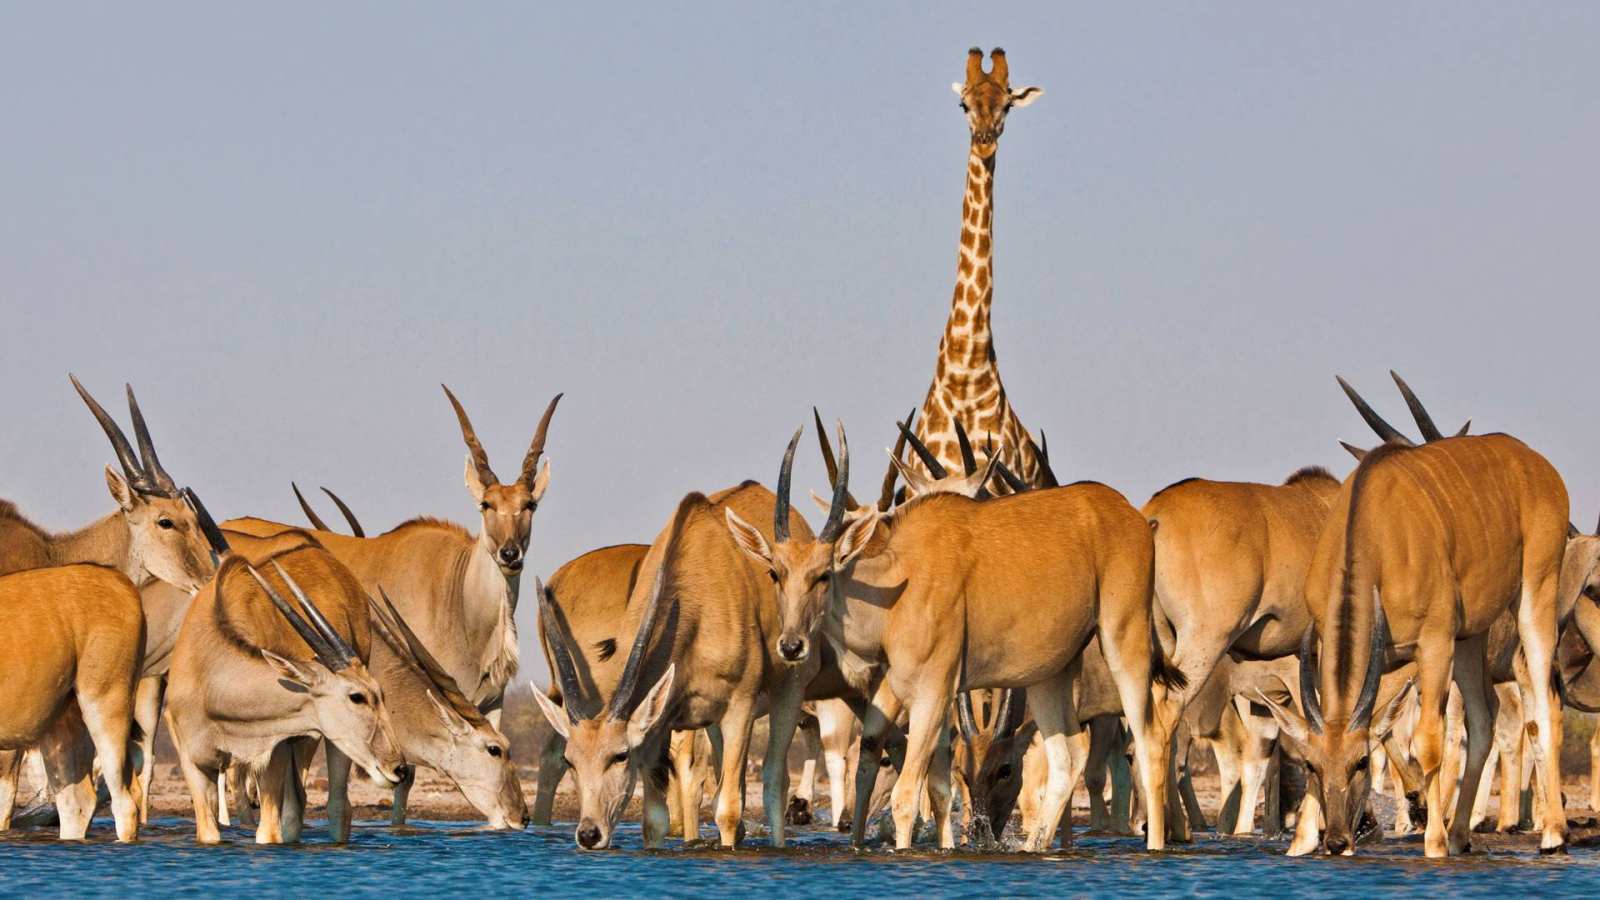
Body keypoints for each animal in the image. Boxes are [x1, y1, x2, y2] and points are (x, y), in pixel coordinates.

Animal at [165, 537, 408, 844]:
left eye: (381, 695)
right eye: (357, 696)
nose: (399, 768)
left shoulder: (273, 754)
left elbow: (269, 832)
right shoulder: (194, 765)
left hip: (328, 743)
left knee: (334, 806)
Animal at [1257, 373, 1572, 858]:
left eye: (1360, 763)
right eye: (1312, 766)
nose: (1338, 840)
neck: (1374, 530)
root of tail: (1537, 464)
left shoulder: (1433, 644)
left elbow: (1427, 742)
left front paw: (1433, 842)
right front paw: (1301, 842)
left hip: (1535, 595)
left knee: (1543, 710)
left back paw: (1552, 834)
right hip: (1471, 637)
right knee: (1485, 716)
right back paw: (1461, 835)